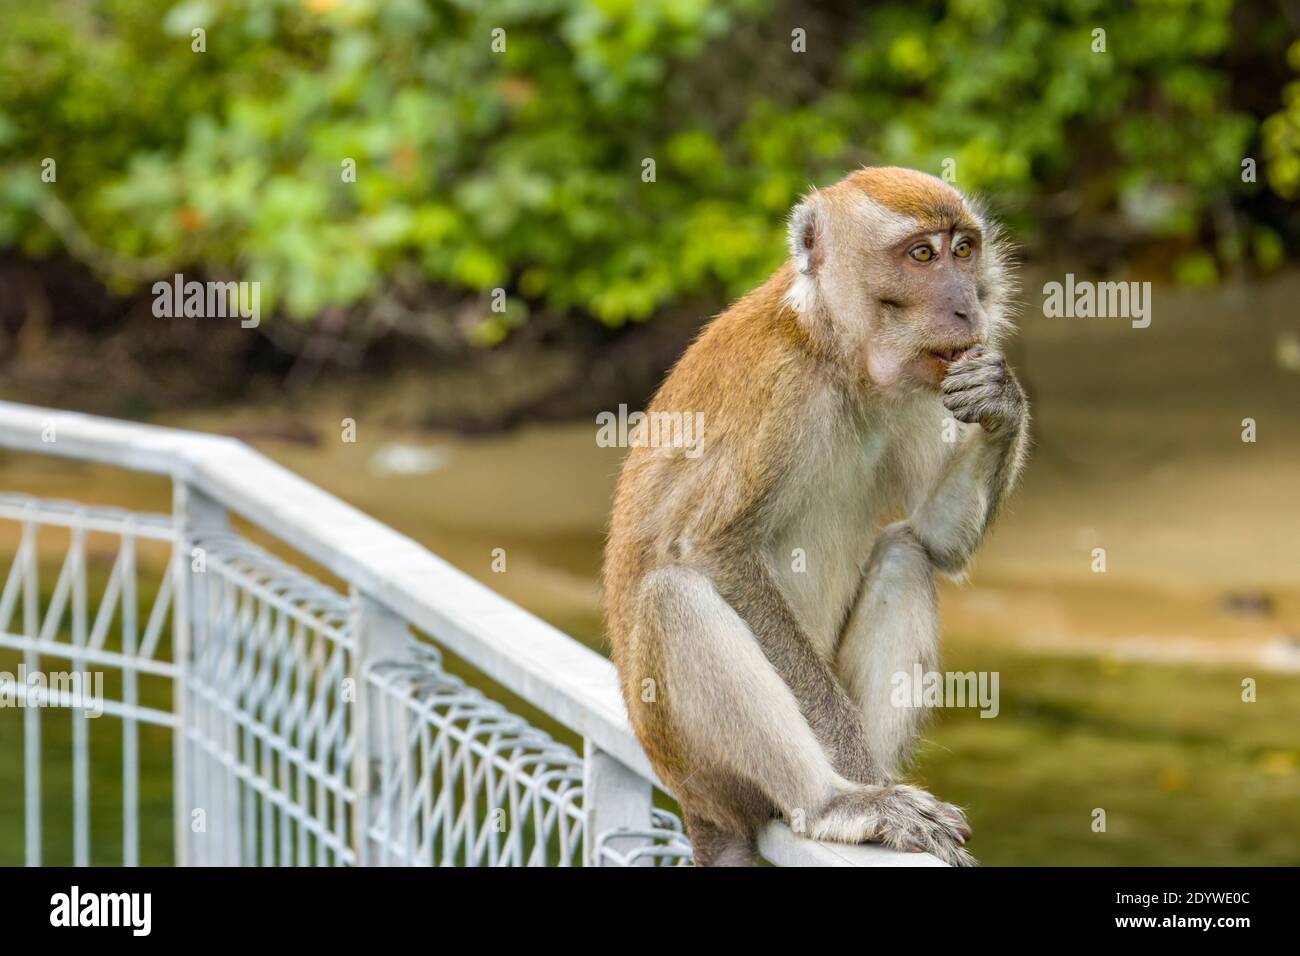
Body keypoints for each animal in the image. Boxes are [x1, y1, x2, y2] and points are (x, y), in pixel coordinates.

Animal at [601, 167, 1029, 867]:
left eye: (964, 250)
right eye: (922, 255)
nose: (969, 307)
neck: (833, 349)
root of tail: (696, 806)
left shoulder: (922, 386)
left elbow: (936, 540)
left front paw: (1001, 396)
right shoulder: (777, 392)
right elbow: (714, 550)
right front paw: (862, 791)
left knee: (905, 553)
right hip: (692, 760)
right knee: (675, 598)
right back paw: (843, 800)